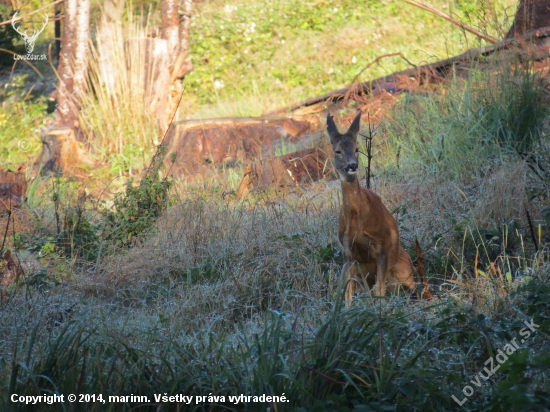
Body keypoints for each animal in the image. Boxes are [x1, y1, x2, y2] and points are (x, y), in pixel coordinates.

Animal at [328, 110, 422, 300]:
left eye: (357, 149)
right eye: (337, 151)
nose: (352, 165)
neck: (358, 219)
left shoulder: (383, 242)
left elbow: (380, 290)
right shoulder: (348, 251)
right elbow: (347, 294)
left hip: (405, 269)